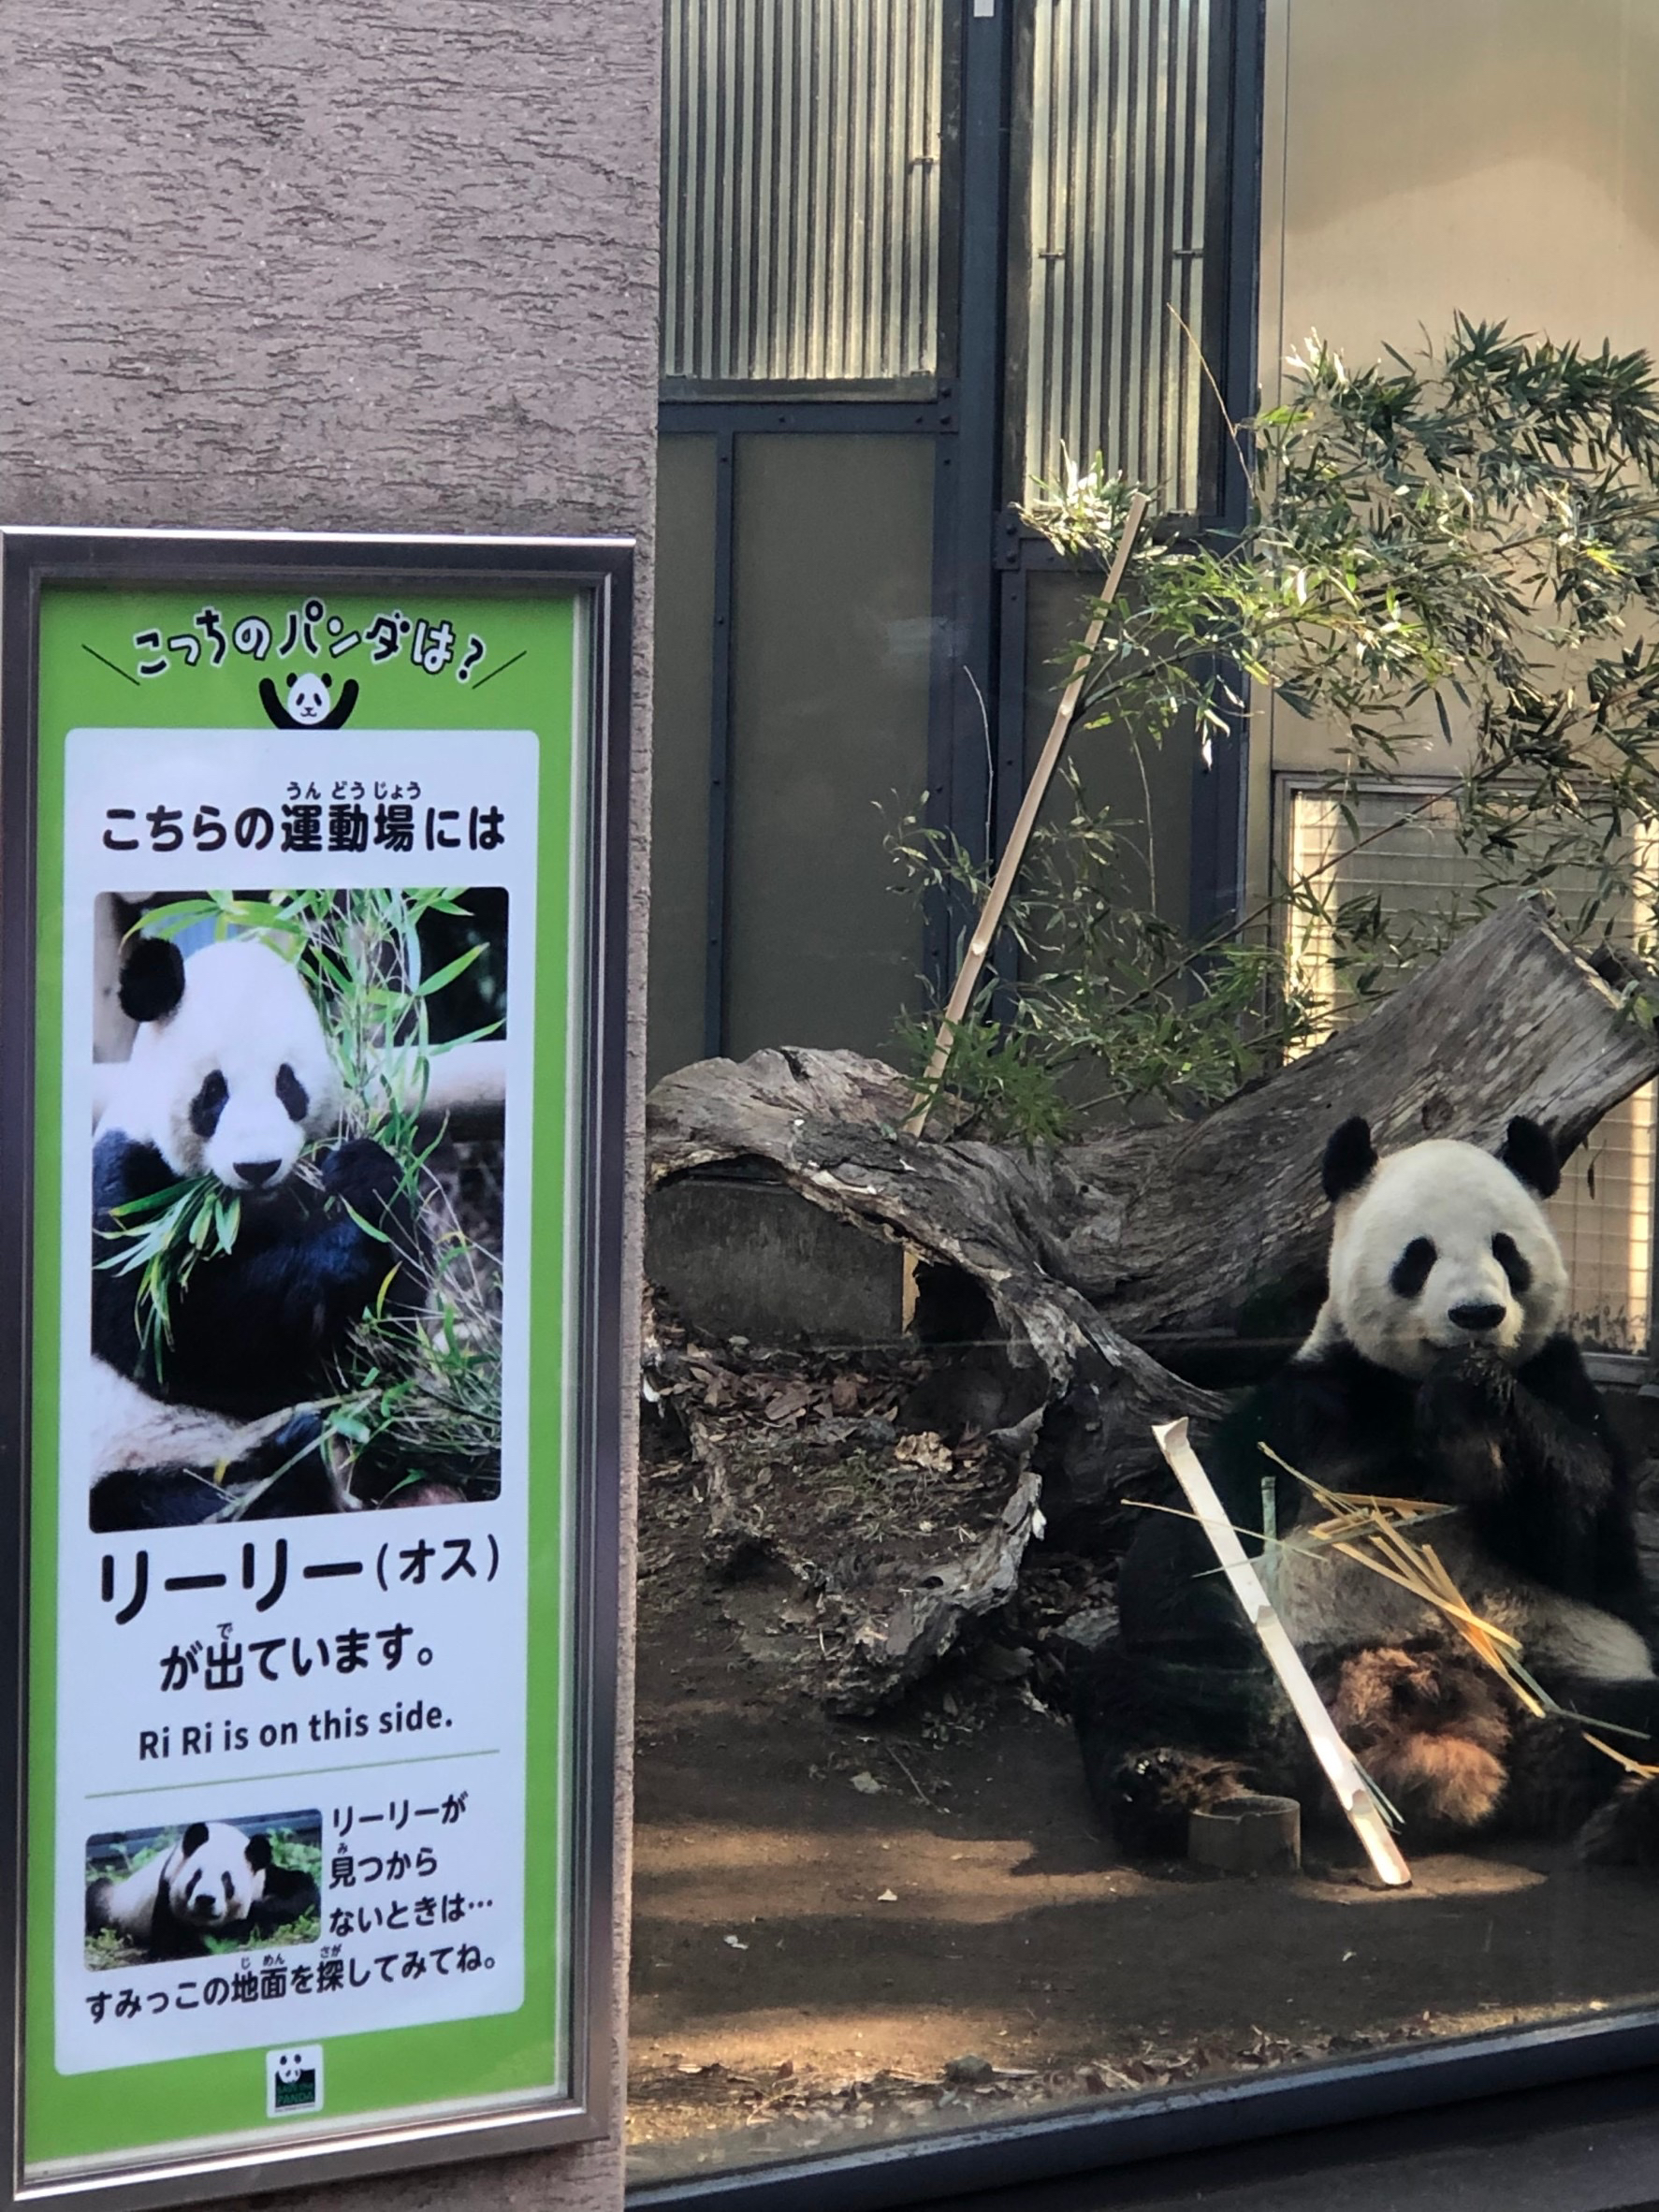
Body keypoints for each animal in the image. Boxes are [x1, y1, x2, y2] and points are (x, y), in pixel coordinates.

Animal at [86, 1822, 320, 1964]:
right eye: (196, 1876)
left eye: (226, 1880)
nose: (205, 1899)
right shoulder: (167, 1887)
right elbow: (175, 1942)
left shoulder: (265, 1877)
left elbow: (304, 1894)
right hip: (113, 1903)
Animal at [88, 924, 429, 1530]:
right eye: (213, 1093)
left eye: (286, 1085)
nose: (257, 1166)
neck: (242, 1211)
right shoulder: (127, 1191)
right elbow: (165, 1333)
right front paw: (336, 1254)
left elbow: (391, 1326)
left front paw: (365, 1180)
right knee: (154, 1504)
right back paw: (294, 1466)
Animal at [1079, 1123, 1659, 1867]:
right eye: (1419, 1255)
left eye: (1505, 1250)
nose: (1477, 1313)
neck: (1409, 1389)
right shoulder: (1312, 1402)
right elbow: (1192, 1532)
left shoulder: (1560, 1383)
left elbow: (1591, 1536)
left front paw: (1476, 1391)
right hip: (1277, 1685)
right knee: (1141, 1692)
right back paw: (1169, 1784)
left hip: (1567, 1673)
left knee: (1629, 1719)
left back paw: (1631, 1815)